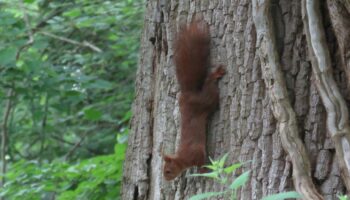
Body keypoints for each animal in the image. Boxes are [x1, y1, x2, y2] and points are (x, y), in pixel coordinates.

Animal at [163, 21, 226, 180]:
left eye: (168, 171)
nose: (166, 179)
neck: (182, 158)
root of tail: (187, 94)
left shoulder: (196, 153)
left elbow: (202, 161)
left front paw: (205, 171)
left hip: (206, 101)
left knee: (210, 86)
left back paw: (217, 73)